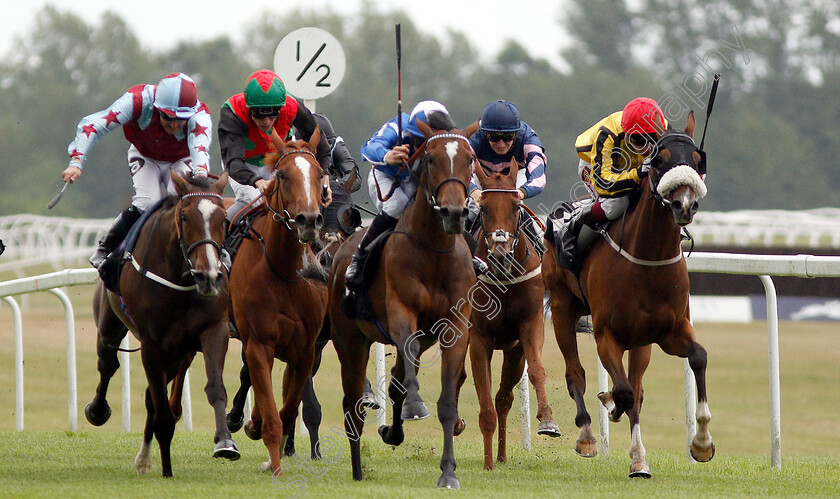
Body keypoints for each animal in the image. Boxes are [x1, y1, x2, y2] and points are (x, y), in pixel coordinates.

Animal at [87, 171, 236, 476]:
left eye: (223, 218)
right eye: (185, 217)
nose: (208, 276)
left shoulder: (213, 330)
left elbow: (215, 388)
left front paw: (225, 442)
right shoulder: (152, 344)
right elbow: (163, 413)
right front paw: (167, 470)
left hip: (179, 352)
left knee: (150, 396)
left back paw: (145, 457)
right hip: (110, 326)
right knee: (108, 364)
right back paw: (98, 411)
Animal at [228, 127, 330, 474]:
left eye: (319, 173)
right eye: (283, 175)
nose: (308, 220)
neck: (283, 271)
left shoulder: (306, 350)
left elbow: (287, 409)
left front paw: (260, 428)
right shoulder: (259, 342)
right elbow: (272, 413)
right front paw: (273, 464)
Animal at [326, 116, 476, 488]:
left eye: (470, 159)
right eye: (431, 158)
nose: (454, 211)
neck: (434, 251)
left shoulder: (455, 328)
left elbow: (447, 402)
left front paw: (448, 472)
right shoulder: (400, 313)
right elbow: (406, 357)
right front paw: (415, 406)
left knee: (394, 384)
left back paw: (391, 432)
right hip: (349, 341)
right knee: (352, 404)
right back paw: (358, 470)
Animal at [470, 158, 560, 470]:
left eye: (516, 207)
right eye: (483, 208)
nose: (500, 256)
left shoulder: (528, 328)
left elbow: (537, 371)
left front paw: (548, 421)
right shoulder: (478, 339)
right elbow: (484, 404)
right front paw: (486, 464)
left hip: (512, 352)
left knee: (504, 398)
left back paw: (502, 455)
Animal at [544, 111, 716, 478]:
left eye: (697, 160)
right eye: (661, 159)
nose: (685, 204)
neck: (647, 260)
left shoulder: (668, 331)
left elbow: (697, 358)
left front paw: (701, 443)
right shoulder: (606, 335)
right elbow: (621, 392)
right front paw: (609, 405)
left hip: (641, 342)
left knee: (636, 387)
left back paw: (638, 456)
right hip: (564, 308)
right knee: (575, 374)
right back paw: (587, 435)